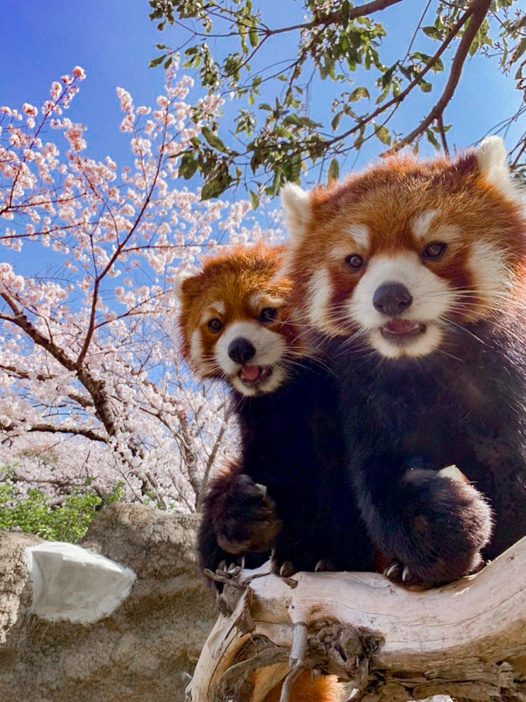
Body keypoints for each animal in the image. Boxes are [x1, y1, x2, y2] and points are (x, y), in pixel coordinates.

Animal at [276, 138, 524, 588]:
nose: (390, 297)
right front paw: (441, 526)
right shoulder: (366, 398)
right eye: (355, 261)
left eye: (434, 249)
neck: (421, 364)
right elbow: (376, 481)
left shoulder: (502, 377)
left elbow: (511, 460)